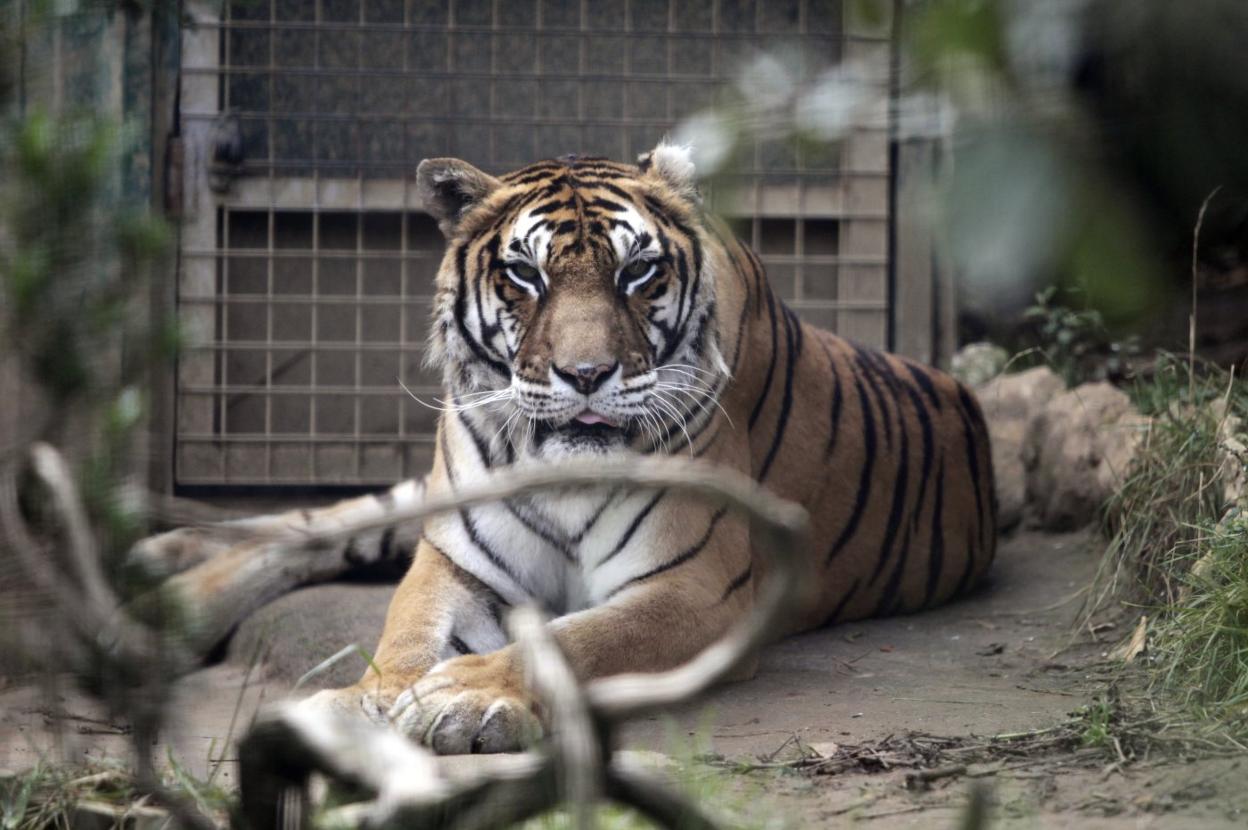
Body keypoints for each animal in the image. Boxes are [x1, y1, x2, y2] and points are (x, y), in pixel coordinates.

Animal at [192, 144, 993, 758]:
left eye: (637, 272)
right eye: (525, 273)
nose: (584, 375)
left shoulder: (692, 589)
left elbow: (577, 640)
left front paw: (463, 697)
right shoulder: (457, 560)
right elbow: (406, 633)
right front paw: (366, 701)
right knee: (309, 526)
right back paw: (175, 589)